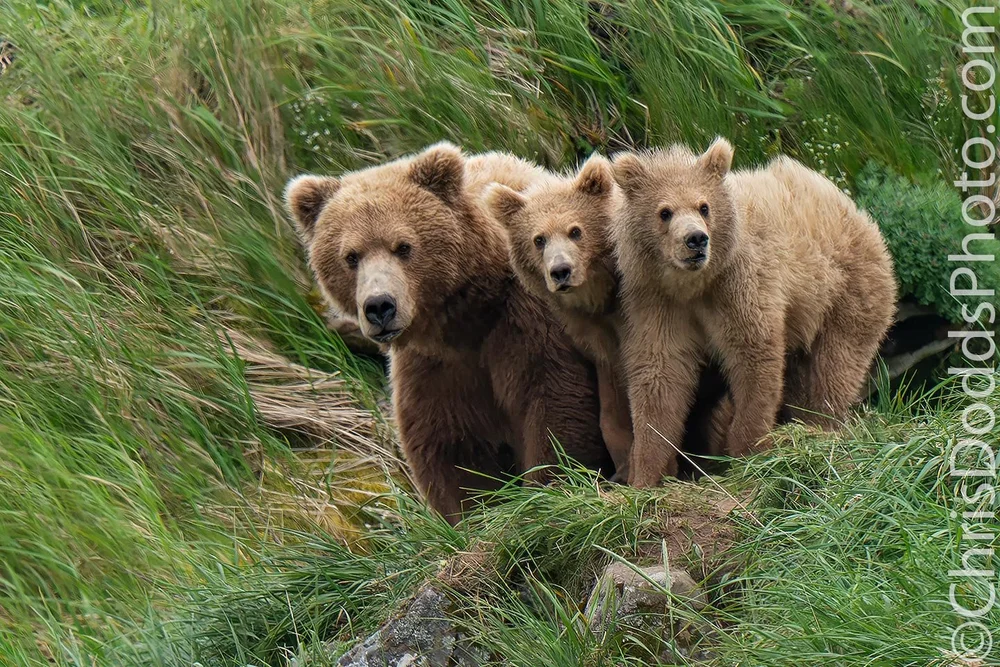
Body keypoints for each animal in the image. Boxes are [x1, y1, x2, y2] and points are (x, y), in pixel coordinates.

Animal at [284, 142, 614, 523]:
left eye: (403, 246)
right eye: (351, 256)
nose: (379, 306)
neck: (464, 317)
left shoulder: (527, 324)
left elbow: (554, 406)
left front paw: (544, 490)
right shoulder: (434, 367)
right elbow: (450, 448)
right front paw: (475, 512)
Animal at [485, 155, 734, 481]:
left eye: (575, 230)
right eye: (538, 239)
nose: (561, 271)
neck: (604, 294)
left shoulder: (633, 320)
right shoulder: (598, 337)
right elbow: (613, 407)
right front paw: (624, 465)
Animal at [609, 138, 897, 487]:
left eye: (704, 206)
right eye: (664, 212)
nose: (696, 240)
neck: (694, 285)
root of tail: (857, 211)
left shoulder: (739, 284)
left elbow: (752, 355)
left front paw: (747, 449)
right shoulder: (656, 302)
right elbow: (659, 375)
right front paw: (645, 473)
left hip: (847, 290)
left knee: (836, 364)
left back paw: (822, 426)